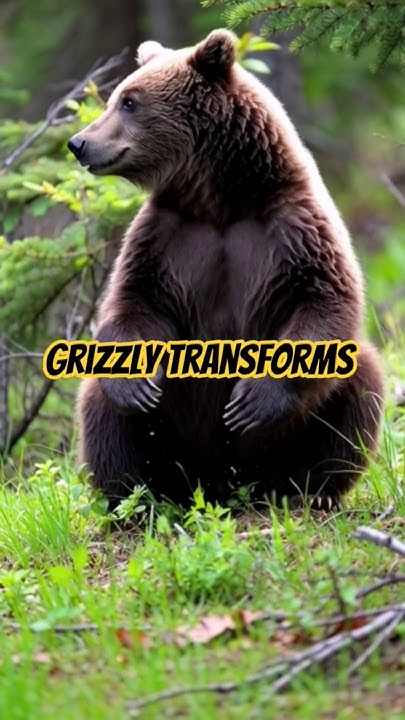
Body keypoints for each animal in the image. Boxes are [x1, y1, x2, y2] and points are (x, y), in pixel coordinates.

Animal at [67, 29, 385, 511]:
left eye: (129, 101)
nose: (79, 142)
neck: (219, 200)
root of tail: (221, 482)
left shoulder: (294, 229)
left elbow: (324, 301)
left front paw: (251, 400)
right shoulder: (164, 240)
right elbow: (135, 303)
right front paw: (136, 385)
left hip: (280, 443)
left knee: (358, 385)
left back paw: (306, 492)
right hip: (175, 440)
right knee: (101, 409)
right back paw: (136, 501)